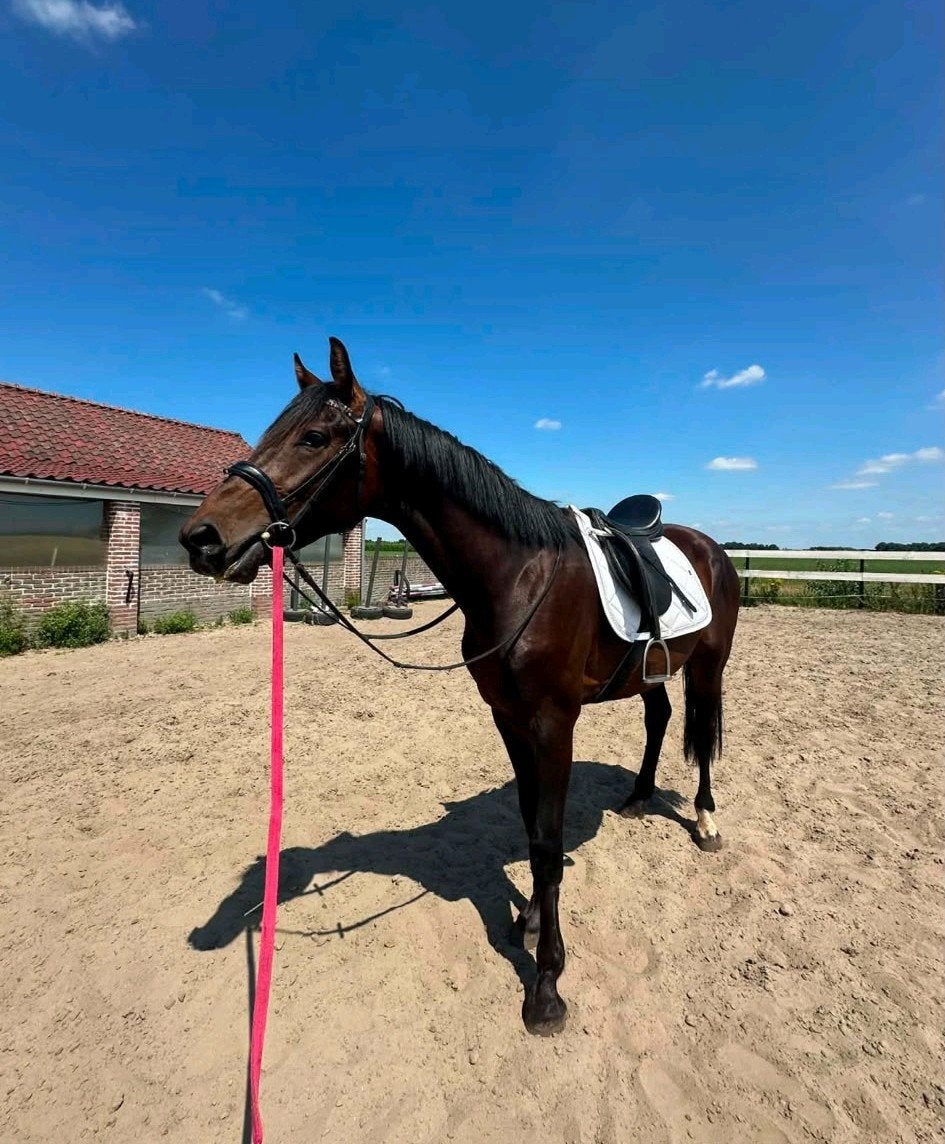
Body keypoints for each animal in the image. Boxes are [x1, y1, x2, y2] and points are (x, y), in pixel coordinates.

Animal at [180, 337, 740, 1036]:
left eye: (313, 437)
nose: (200, 537)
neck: (518, 575)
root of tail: (709, 545)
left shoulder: (554, 723)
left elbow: (549, 842)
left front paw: (547, 984)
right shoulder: (508, 718)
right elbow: (530, 823)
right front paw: (529, 922)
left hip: (710, 665)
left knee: (704, 734)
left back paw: (706, 822)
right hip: (651, 671)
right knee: (659, 718)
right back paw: (638, 798)